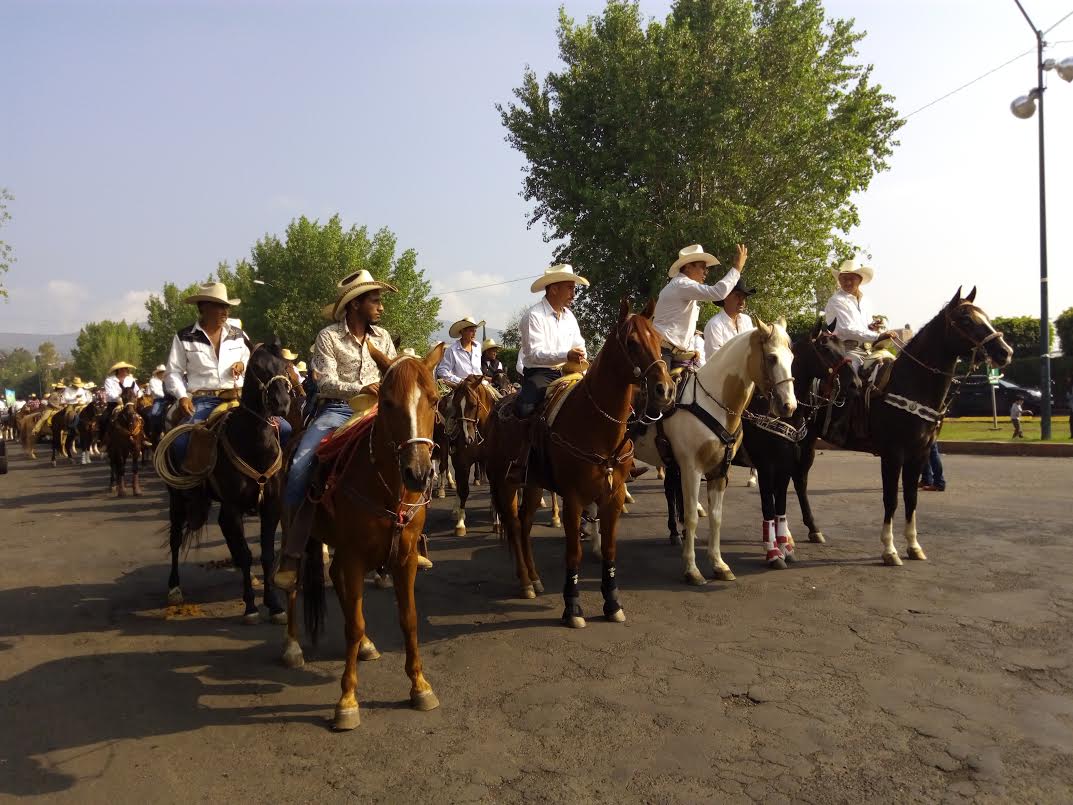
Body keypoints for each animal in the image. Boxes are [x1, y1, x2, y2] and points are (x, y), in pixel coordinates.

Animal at [157, 343, 294, 626]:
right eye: (256, 367)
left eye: (284, 366)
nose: (282, 404)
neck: (254, 444)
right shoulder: (233, 507)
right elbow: (245, 554)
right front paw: (250, 606)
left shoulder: (271, 506)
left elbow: (264, 554)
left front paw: (274, 605)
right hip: (177, 499)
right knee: (176, 539)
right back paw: (174, 588)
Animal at [285, 343, 444, 734]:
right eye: (386, 402)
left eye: (434, 400)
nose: (419, 473)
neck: (388, 488)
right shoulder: (356, 556)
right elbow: (353, 625)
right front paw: (346, 701)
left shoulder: (402, 558)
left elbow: (409, 619)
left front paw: (420, 686)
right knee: (291, 584)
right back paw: (292, 647)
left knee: (334, 579)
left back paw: (368, 646)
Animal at [484, 300, 669, 626]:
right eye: (632, 342)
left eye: (659, 340)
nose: (665, 388)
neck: (596, 425)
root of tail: (497, 408)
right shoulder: (573, 499)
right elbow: (574, 554)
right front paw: (572, 607)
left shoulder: (613, 497)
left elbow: (609, 549)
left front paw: (612, 602)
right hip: (505, 484)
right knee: (514, 525)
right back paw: (525, 582)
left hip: (533, 485)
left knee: (525, 524)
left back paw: (535, 578)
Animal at [626, 322, 798, 588]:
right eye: (771, 357)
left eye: (792, 358)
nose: (788, 406)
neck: (712, 404)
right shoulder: (692, 469)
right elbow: (691, 517)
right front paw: (691, 569)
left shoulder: (720, 471)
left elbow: (716, 517)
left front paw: (719, 565)